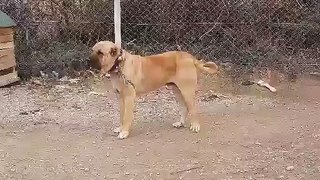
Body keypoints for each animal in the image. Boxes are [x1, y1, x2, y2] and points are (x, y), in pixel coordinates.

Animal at [88, 41, 218, 139]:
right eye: (92, 50)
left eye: (100, 53)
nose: (87, 60)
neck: (119, 64)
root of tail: (191, 58)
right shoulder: (120, 98)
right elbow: (121, 115)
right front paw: (120, 128)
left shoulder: (129, 98)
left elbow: (127, 116)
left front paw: (124, 132)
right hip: (177, 91)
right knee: (184, 108)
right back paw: (180, 123)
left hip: (187, 91)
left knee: (193, 108)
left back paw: (195, 125)